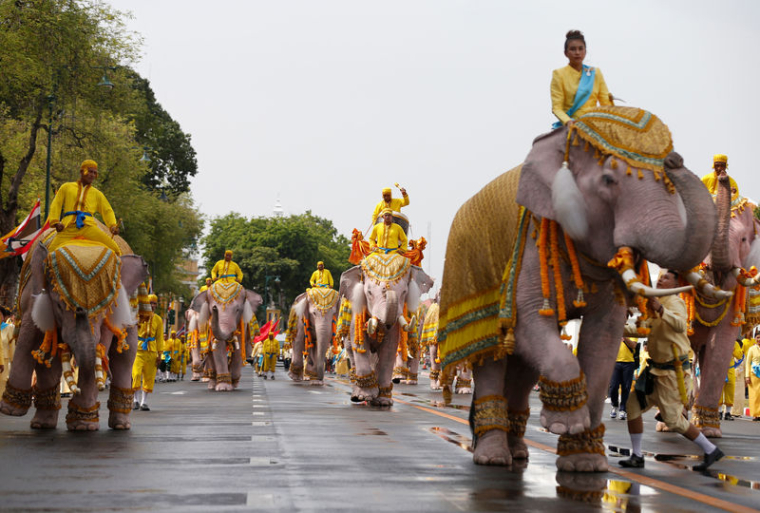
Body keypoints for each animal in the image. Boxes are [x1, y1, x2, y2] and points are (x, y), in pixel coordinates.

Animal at [0, 226, 150, 430]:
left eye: (103, 313)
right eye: (59, 305)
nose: (80, 309)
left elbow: (99, 350)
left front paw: (82, 426)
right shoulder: (33, 297)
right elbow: (32, 342)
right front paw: (10, 410)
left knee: (125, 357)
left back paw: (120, 424)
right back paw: (42, 424)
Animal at [338, 251, 434, 404]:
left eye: (404, 292)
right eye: (369, 293)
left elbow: (389, 349)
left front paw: (383, 401)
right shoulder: (355, 316)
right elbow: (360, 346)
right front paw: (364, 396)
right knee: (352, 352)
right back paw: (358, 392)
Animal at [440, 106, 720, 470]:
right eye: (608, 180)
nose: (675, 159)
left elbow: (604, 337)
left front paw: (586, 462)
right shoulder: (534, 241)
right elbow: (529, 321)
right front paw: (564, 424)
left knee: (524, 365)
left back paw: (519, 452)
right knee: (492, 355)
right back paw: (493, 458)